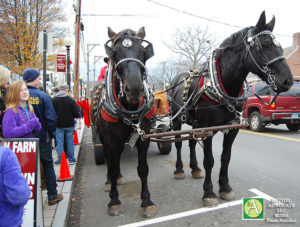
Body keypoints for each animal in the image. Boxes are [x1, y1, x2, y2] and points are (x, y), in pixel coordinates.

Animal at [93, 27, 157, 217]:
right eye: (114, 53)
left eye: (143, 52)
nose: (134, 89)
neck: (130, 109)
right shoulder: (110, 139)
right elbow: (113, 167)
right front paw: (114, 201)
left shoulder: (144, 137)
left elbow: (143, 169)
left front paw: (146, 201)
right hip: (104, 138)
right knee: (110, 160)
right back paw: (110, 182)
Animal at [171, 11, 292, 207]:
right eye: (265, 45)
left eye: (280, 46)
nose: (288, 80)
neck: (223, 85)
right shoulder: (207, 129)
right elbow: (210, 160)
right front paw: (209, 192)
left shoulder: (232, 128)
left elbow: (225, 158)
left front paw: (225, 188)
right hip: (176, 120)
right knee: (179, 143)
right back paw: (180, 170)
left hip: (195, 124)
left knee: (191, 143)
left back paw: (195, 169)